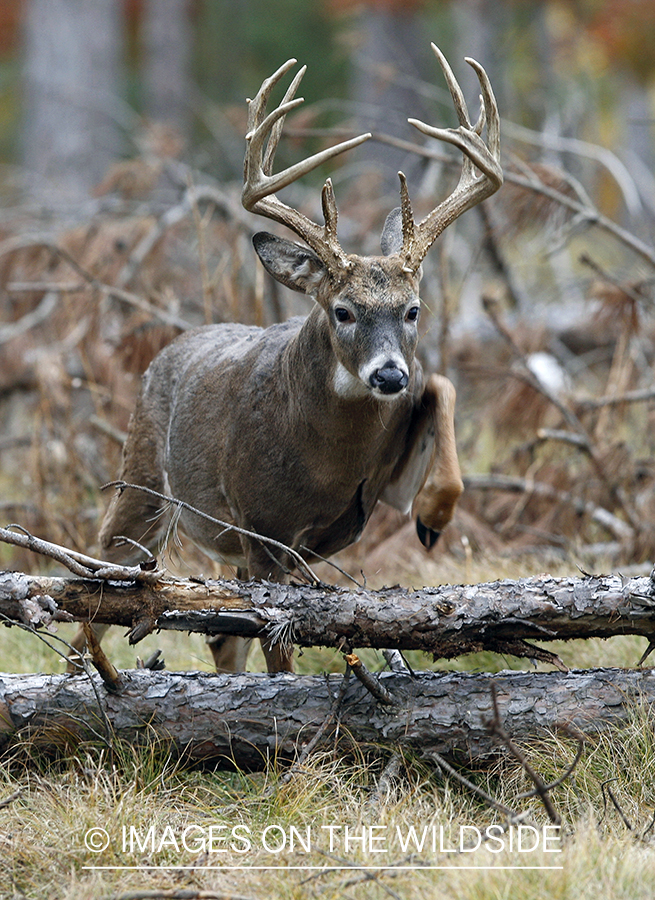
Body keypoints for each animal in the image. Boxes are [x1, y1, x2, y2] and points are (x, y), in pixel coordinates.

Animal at [79, 44, 504, 676]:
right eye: (343, 311)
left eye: (413, 309)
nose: (388, 374)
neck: (325, 463)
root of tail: (165, 352)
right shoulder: (263, 529)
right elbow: (279, 650)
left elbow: (444, 388)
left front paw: (432, 513)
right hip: (142, 485)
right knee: (96, 594)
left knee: (220, 638)